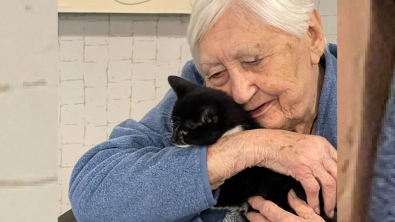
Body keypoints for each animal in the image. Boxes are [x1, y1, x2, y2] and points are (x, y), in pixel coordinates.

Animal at [168, 76, 338, 222]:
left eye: (185, 131)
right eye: (172, 124)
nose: (172, 139)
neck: (232, 130)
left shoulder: (240, 188)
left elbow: (218, 200)